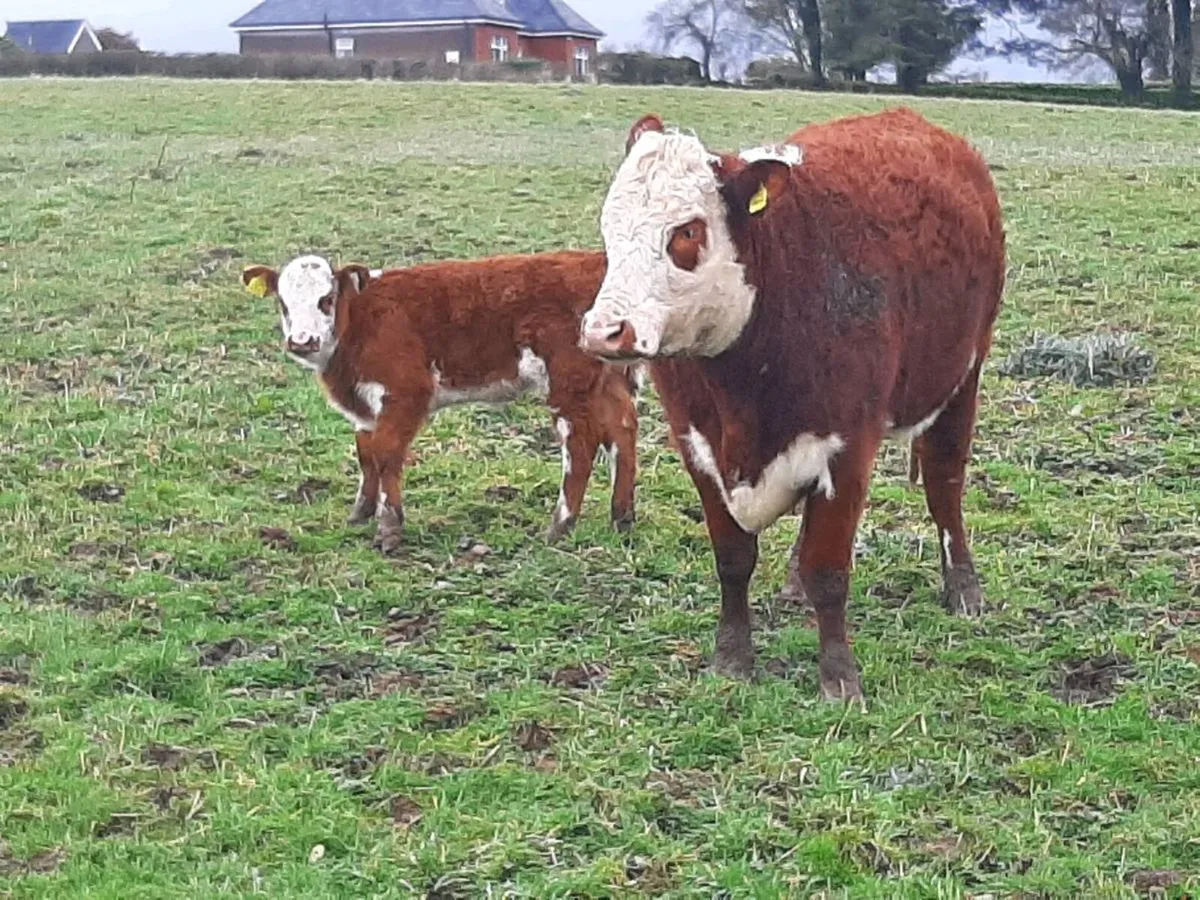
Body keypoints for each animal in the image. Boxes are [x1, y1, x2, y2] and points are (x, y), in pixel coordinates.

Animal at [241, 251, 640, 554]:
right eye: (283, 303)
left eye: (326, 300)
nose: (301, 341)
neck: (359, 322)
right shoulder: (365, 406)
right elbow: (366, 455)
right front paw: (360, 513)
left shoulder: (406, 393)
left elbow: (386, 455)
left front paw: (389, 527)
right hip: (608, 380)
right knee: (623, 430)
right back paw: (622, 518)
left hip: (568, 384)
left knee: (581, 447)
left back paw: (560, 526)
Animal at [578, 108, 1005, 700]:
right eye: (610, 226)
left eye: (687, 231)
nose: (604, 331)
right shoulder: (698, 445)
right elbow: (733, 560)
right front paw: (732, 660)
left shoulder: (847, 446)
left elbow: (831, 570)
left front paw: (839, 680)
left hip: (962, 378)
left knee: (945, 485)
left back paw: (963, 587)